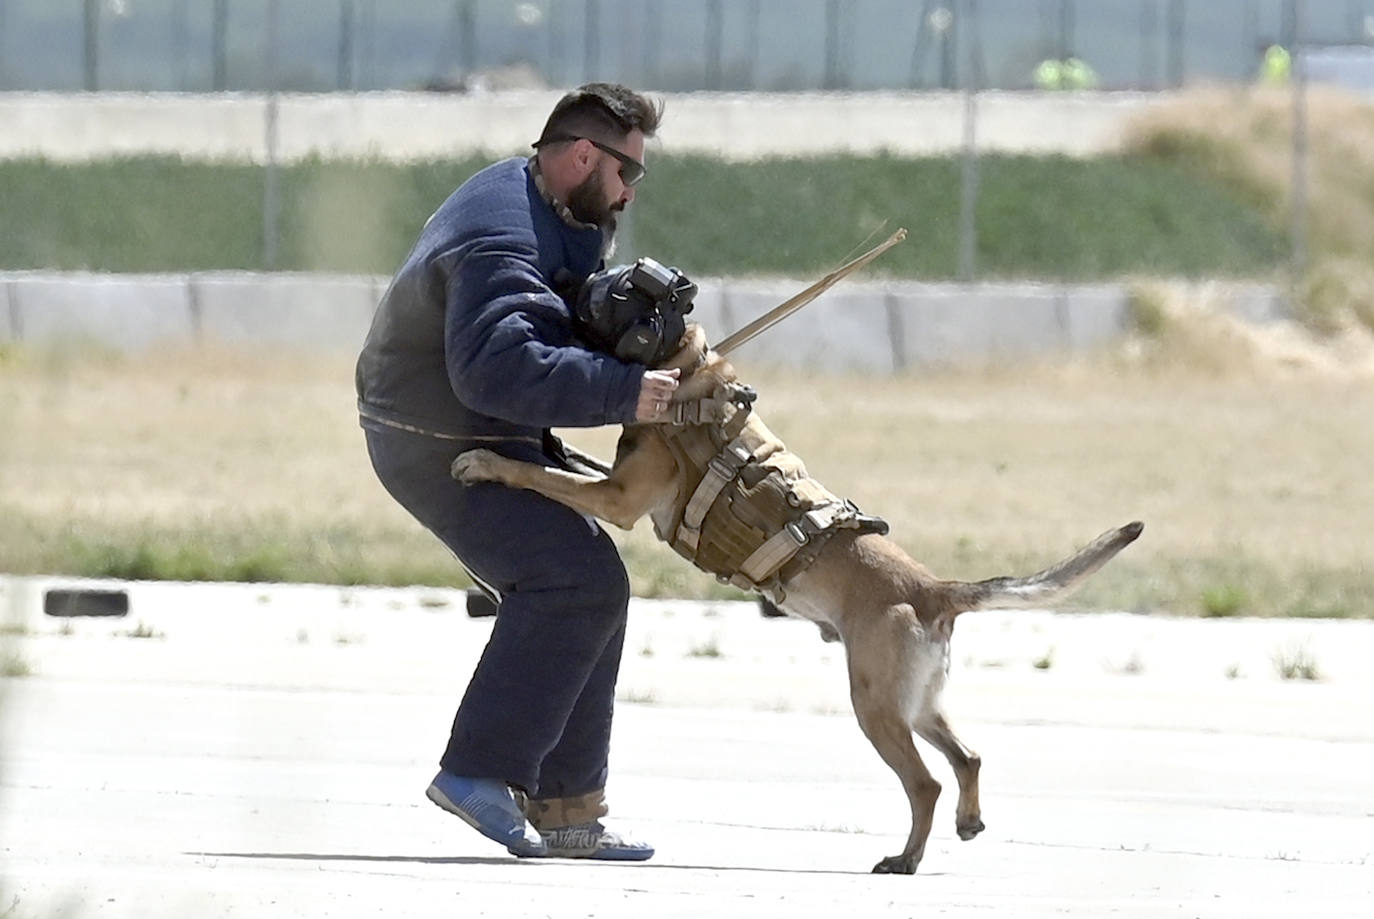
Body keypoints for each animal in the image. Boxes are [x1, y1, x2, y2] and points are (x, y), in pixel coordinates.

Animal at [450, 324, 1137, 873]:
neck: (693, 377)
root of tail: (932, 590)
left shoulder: (616, 498)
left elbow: (540, 472)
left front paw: (484, 462)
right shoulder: (615, 487)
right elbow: (563, 466)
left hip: (876, 708)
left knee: (926, 784)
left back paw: (905, 860)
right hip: (916, 704)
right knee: (967, 758)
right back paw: (965, 825)